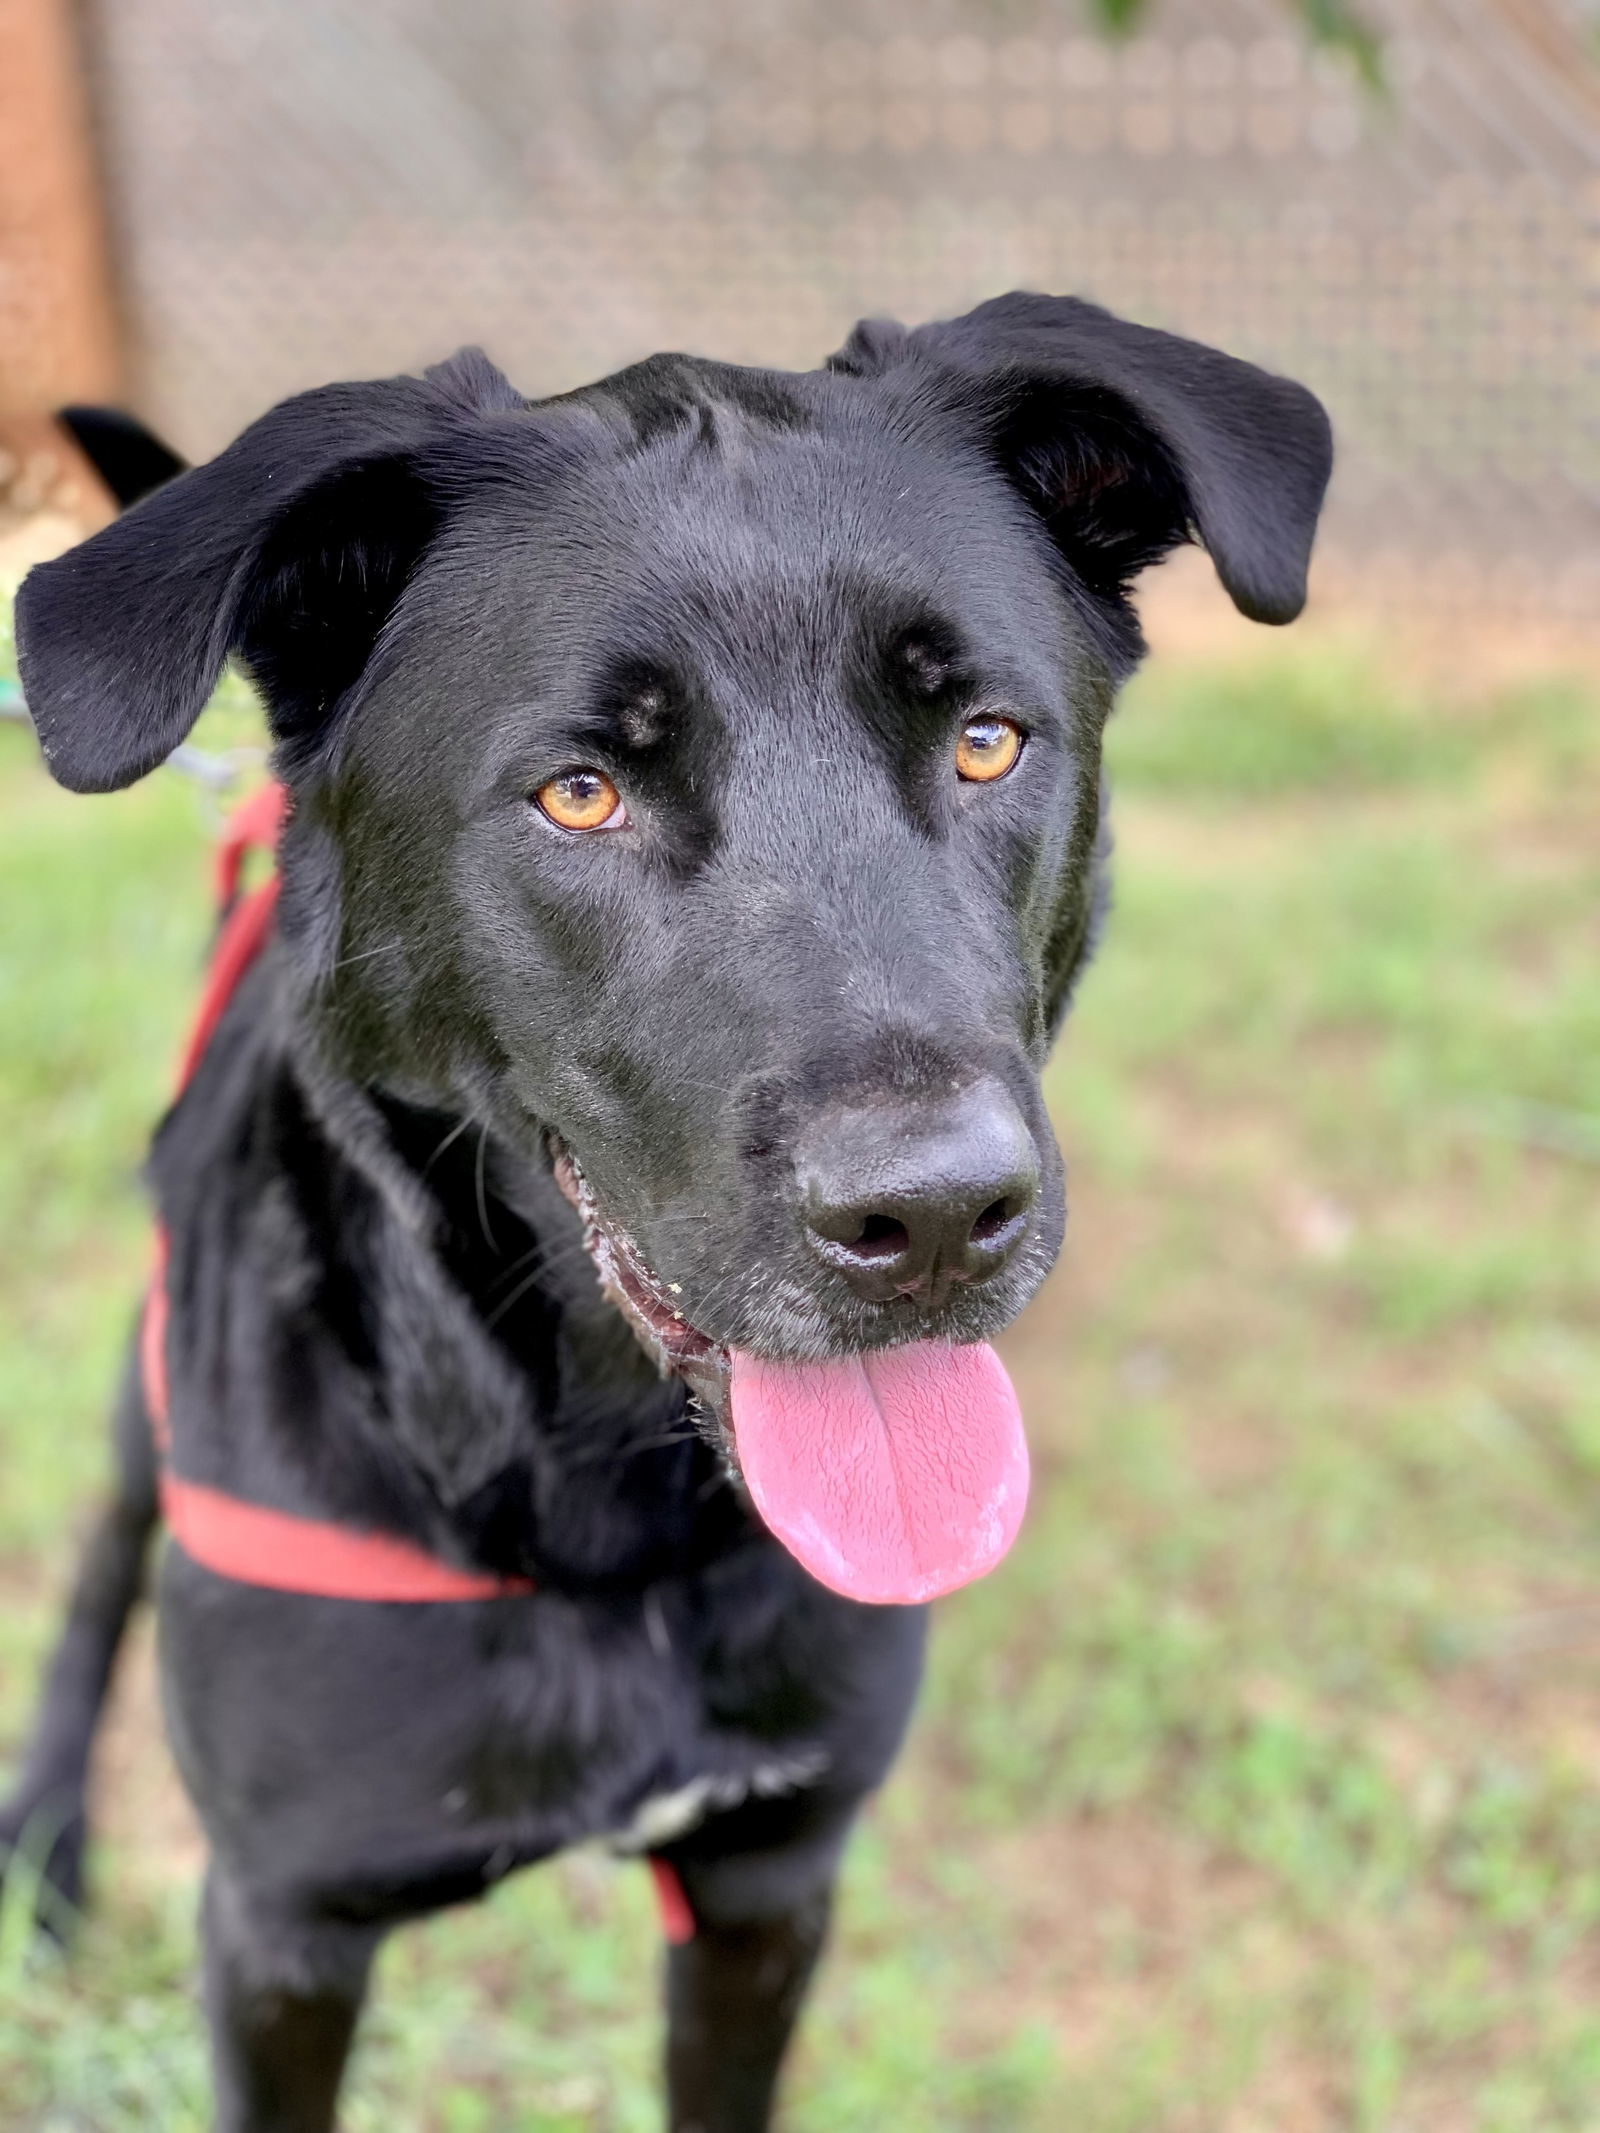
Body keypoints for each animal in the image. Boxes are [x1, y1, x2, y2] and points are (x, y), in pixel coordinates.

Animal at [0, 292, 1331, 2124]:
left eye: (985, 740)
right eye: (581, 791)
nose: (933, 1218)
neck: (606, 1499)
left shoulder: (770, 1883)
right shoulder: (284, 1936)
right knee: (98, 1564)